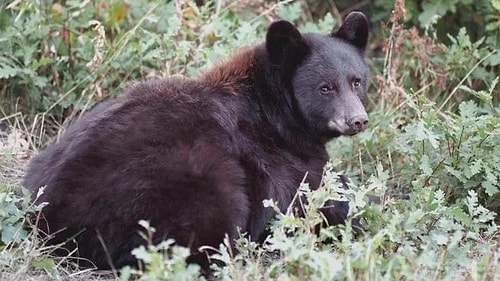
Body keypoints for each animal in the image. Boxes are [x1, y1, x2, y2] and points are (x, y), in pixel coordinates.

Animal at [24, 11, 372, 270]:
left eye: (357, 81)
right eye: (325, 87)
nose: (358, 120)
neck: (273, 109)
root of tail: (51, 218)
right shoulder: (274, 159)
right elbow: (308, 199)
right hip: (181, 177)